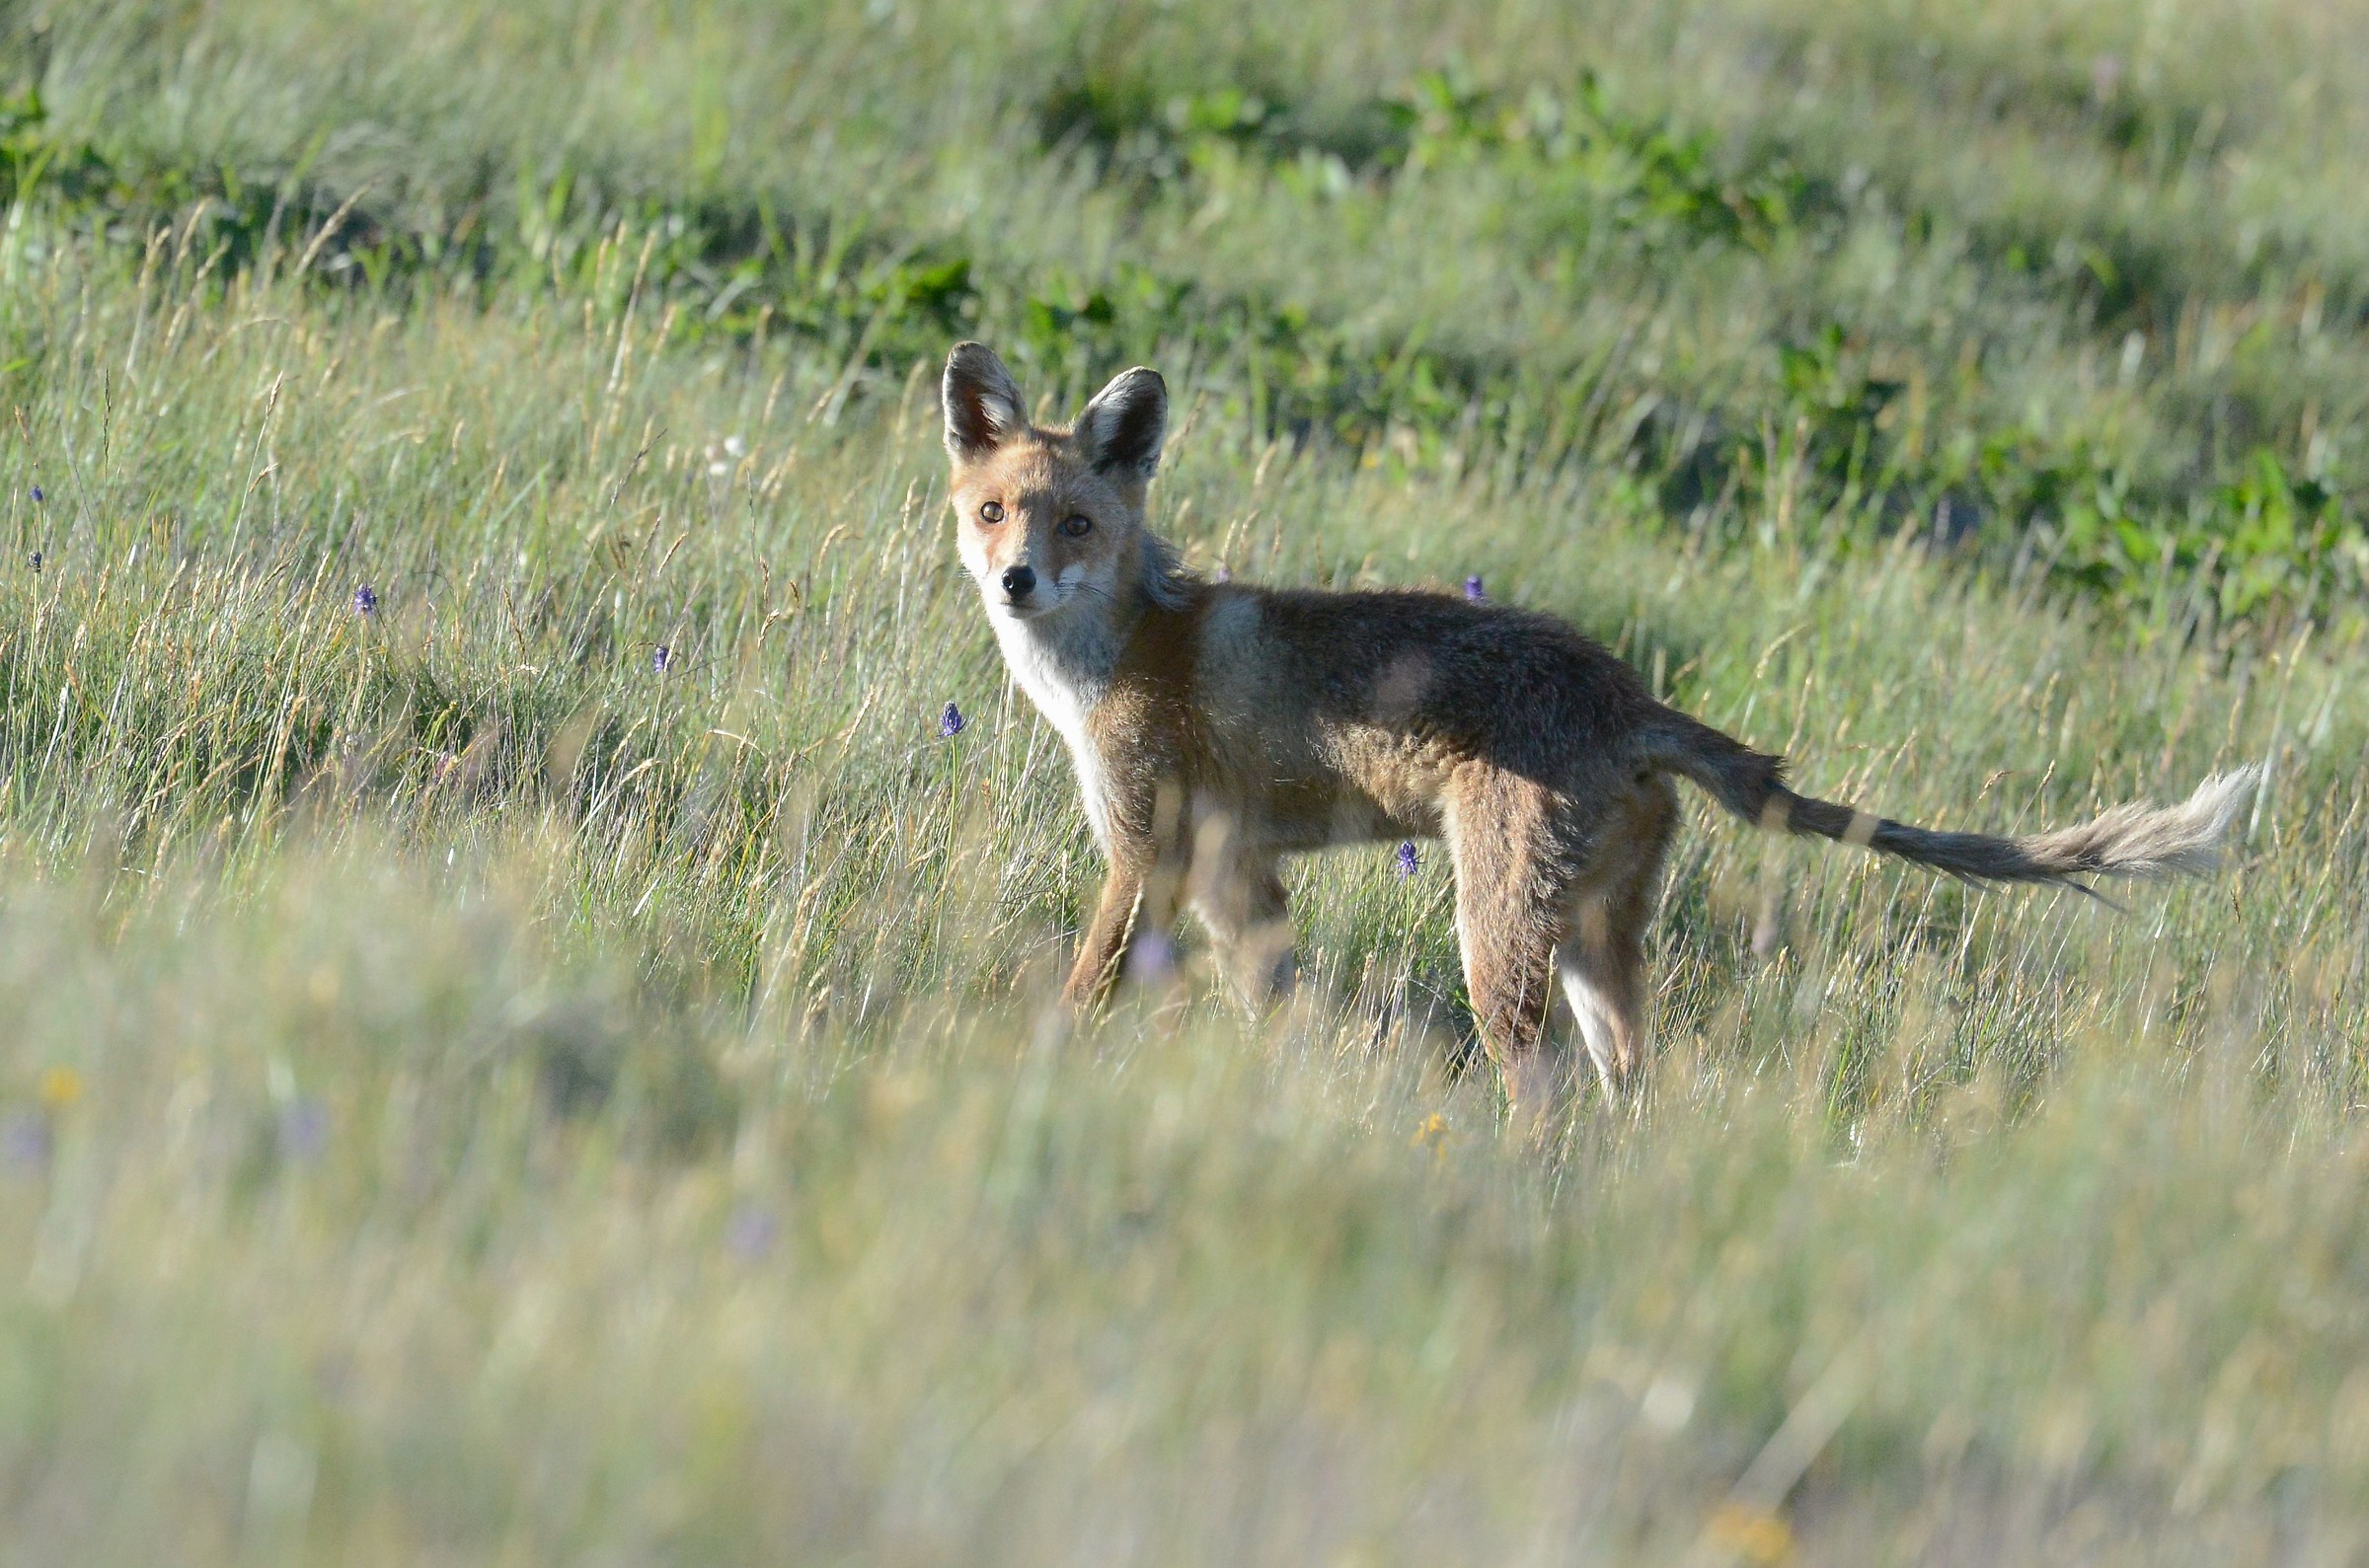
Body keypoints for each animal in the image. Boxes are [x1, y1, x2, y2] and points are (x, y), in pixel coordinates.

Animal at [940, 340, 2259, 1119]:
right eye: (996, 511)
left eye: (1075, 523)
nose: (1014, 581)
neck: (1115, 654)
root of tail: (1633, 696)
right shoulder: (1233, 876)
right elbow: (1280, 1005)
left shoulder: (1146, 851)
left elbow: (1086, 987)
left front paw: (1033, 1067)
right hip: (1589, 947)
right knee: (1634, 1090)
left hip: (1495, 943)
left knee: (1545, 1098)